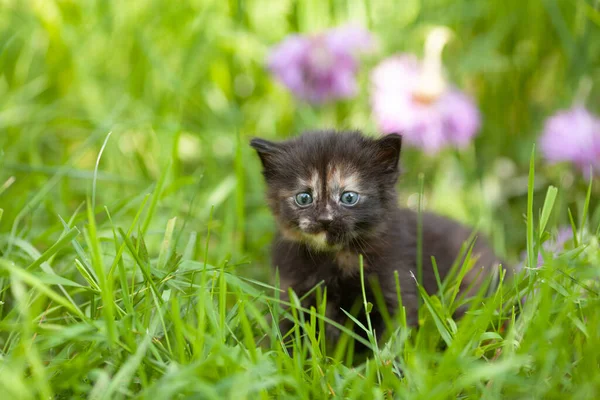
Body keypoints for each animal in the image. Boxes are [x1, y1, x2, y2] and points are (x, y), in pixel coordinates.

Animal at [251, 130, 504, 346]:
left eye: (349, 197)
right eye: (304, 198)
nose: (325, 220)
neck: (335, 257)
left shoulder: (395, 287)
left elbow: (390, 342)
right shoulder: (291, 291)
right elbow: (287, 334)